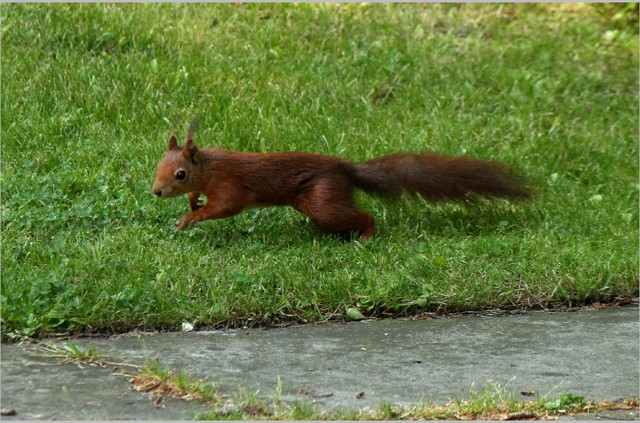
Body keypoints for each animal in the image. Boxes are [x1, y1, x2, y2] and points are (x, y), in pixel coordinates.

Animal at [151, 127, 528, 240]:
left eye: (180, 174)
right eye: (157, 166)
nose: (156, 191)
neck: (210, 167)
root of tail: (347, 170)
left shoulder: (231, 186)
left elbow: (227, 207)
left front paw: (190, 218)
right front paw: (193, 202)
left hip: (322, 201)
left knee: (362, 216)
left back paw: (365, 236)